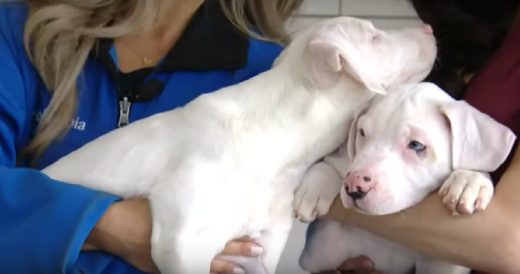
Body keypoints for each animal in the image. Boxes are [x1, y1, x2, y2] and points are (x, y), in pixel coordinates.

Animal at [296, 83, 516, 274]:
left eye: (416, 145)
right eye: (362, 133)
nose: (354, 185)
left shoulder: (442, 263)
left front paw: (470, 180)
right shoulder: (318, 252)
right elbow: (332, 163)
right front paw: (313, 190)